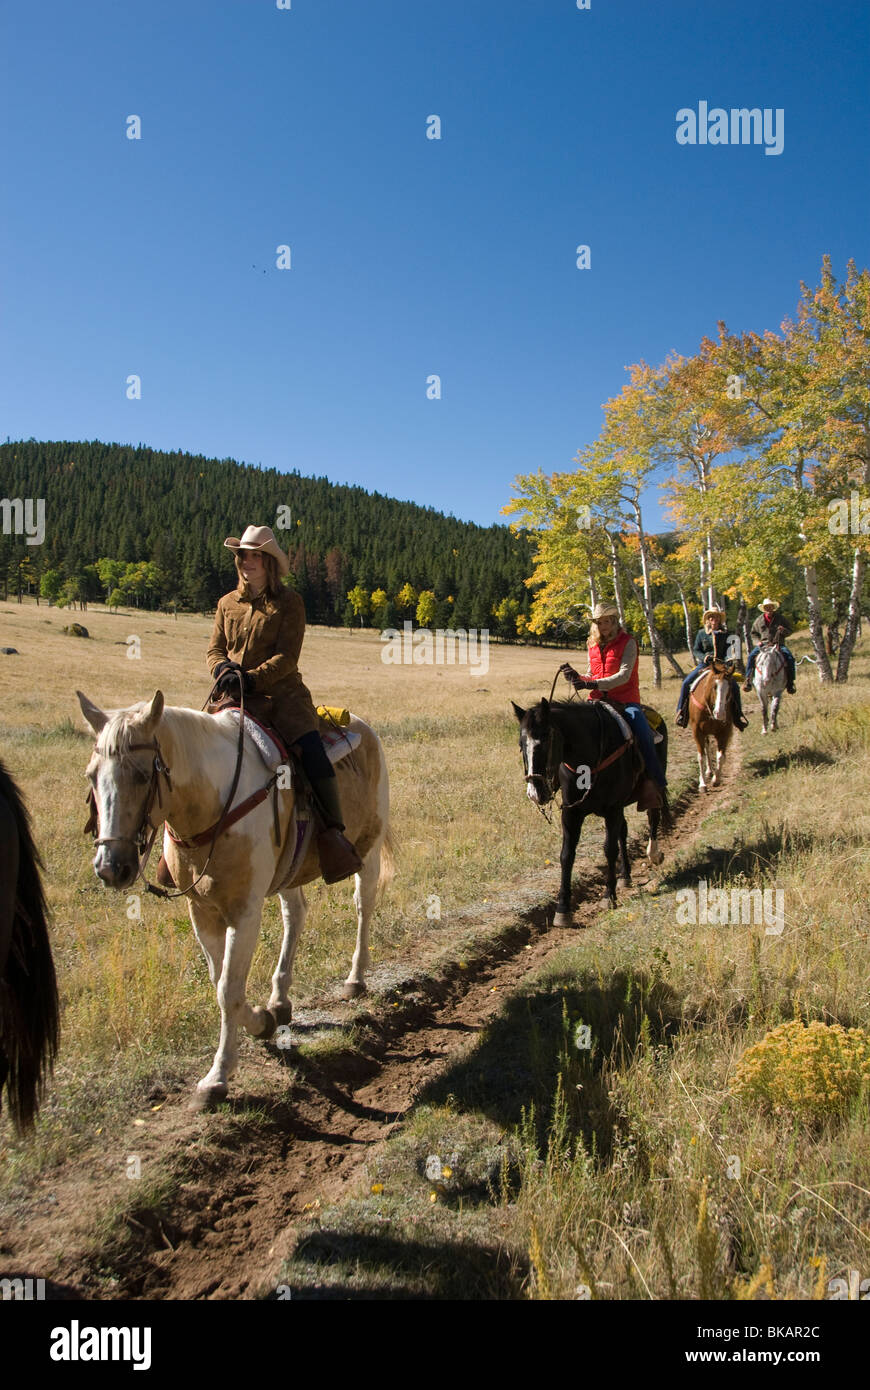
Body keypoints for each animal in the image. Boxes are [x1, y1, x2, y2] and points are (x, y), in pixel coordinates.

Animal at [77, 690, 392, 1109]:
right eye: (92, 776)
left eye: (142, 775)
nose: (111, 867)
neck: (212, 805)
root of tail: (362, 726)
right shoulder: (201, 910)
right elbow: (220, 982)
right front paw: (261, 1020)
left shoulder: (245, 912)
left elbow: (228, 989)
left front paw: (218, 1077)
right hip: (289, 869)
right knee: (295, 915)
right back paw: (280, 999)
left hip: (368, 848)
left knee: (363, 904)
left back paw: (355, 978)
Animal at [512, 697, 668, 922]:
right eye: (521, 744)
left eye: (546, 740)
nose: (535, 792)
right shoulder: (571, 813)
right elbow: (567, 855)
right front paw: (563, 908)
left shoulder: (612, 809)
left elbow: (609, 849)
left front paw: (608, 896)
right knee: (623, 831)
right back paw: (626, 875)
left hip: (652, 786)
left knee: (652, 815)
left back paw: (653, 854)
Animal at [687, 659, 737, 790]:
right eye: (714, 686)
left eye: (730, 687)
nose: (719, 713)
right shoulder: (697, 731)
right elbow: (701, 756)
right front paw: (702, 784)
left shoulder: (724, 731)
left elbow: (721, 756)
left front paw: (716, 779)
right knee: (706, 747)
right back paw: (708, 772)